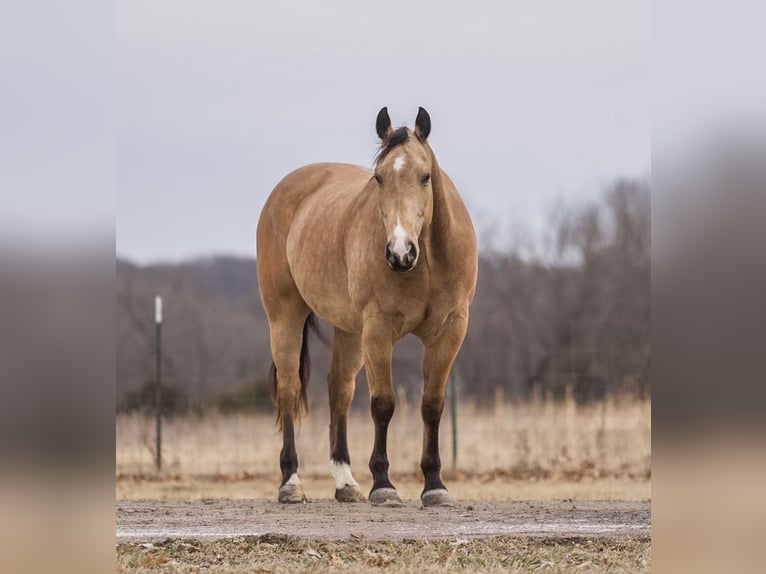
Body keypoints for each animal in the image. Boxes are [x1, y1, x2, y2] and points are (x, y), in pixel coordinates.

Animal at [255, 108, 476, 508]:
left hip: (348, 330)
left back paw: (346, 483)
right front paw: (384, 484)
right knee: (289, 390)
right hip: (285, 316)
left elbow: (432, 404)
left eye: (425, 177)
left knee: (338, 390)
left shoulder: (450, 330)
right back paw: (291, 483)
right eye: (379, 177)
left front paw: (434, 484)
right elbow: (383, 404)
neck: (428, 263)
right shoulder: (378, 329)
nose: (400, 252)